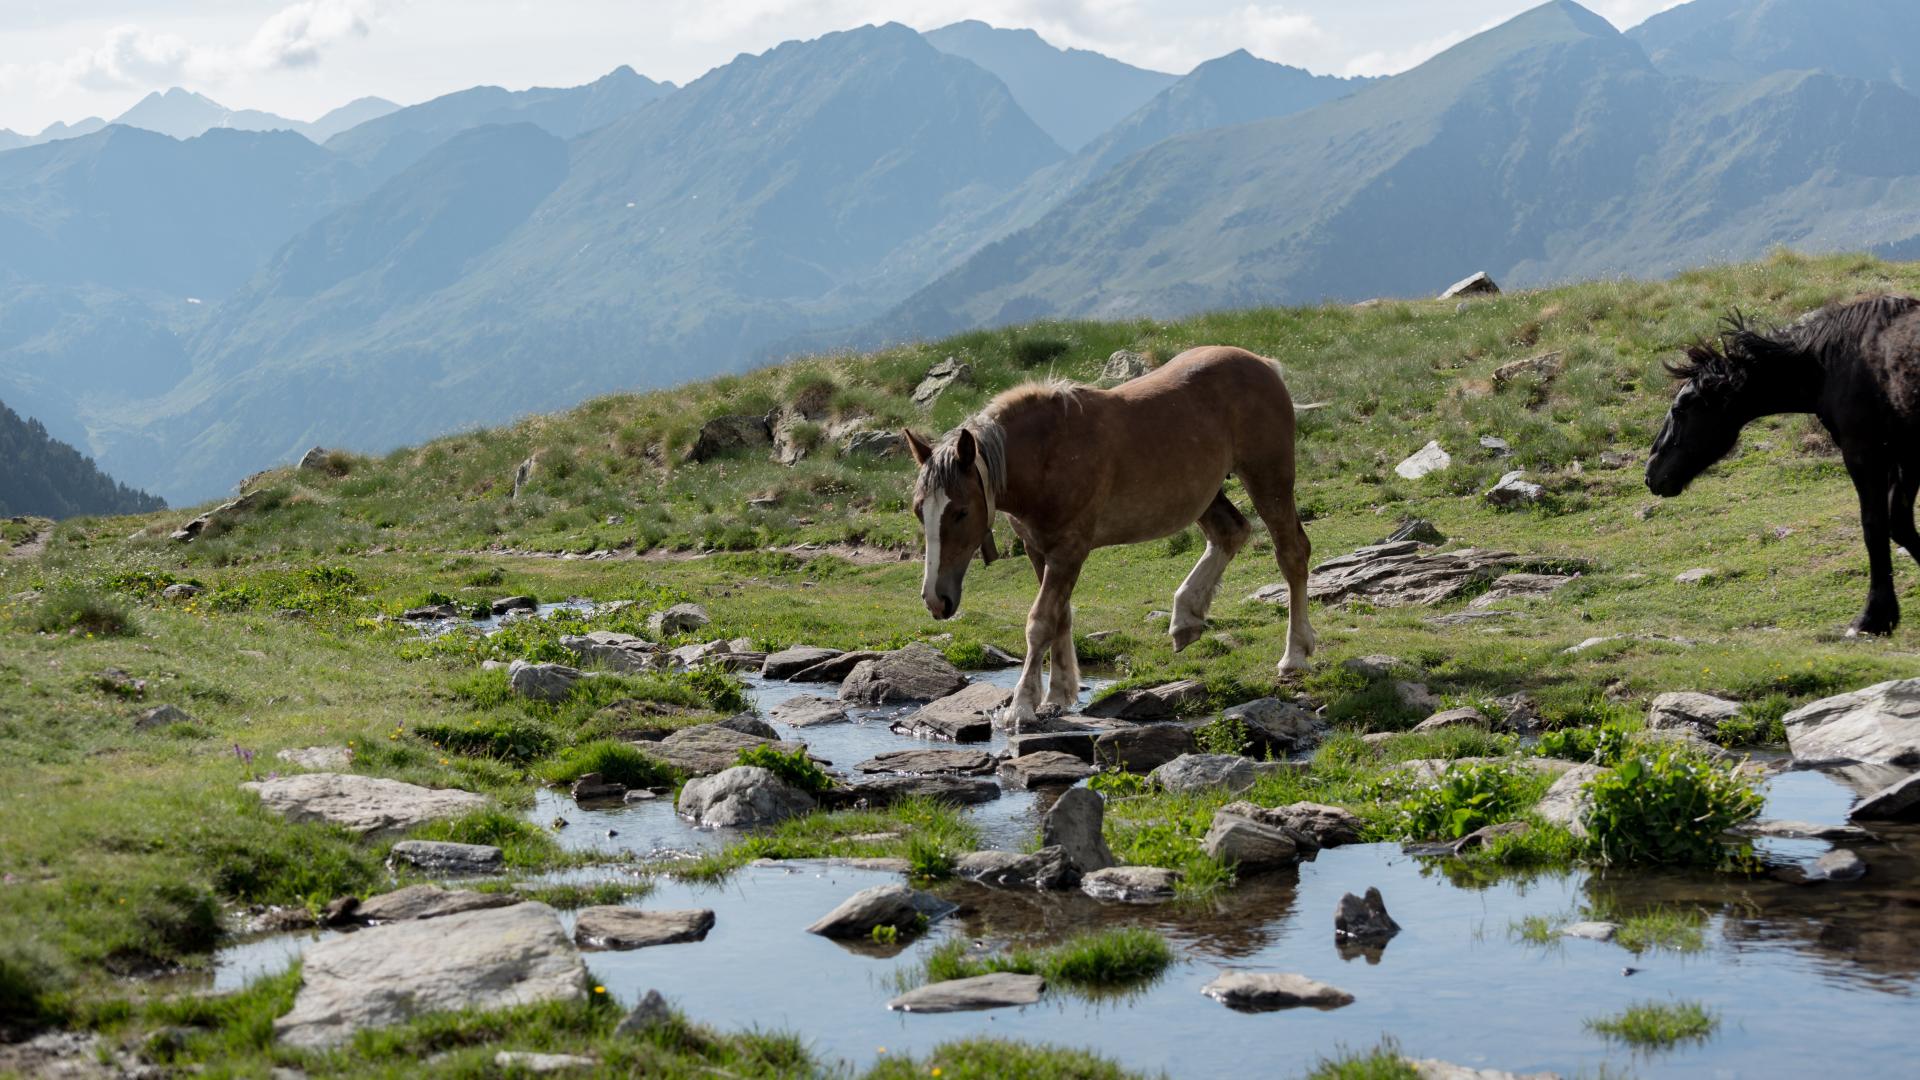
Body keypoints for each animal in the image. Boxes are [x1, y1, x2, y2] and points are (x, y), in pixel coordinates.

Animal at [906, 343, 1313, 722]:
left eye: (961, 511)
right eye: (918, 510)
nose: (936, 599)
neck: (1047, 453)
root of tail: (1263, 364)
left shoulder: (1069, 549)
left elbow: (1041, 621)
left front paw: (1021, 706)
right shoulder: (1039, 548)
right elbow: (1061, 617)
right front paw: (1059, 694)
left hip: (1268, 477)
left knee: (1292, 552)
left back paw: (1294, 655)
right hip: (1206, 494)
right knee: (1230, 533)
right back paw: (1186, 617)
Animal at [1651, 292, 1920, 630]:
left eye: (1680, 409)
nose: (1651, 473)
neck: (1831, 363)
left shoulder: (1864, 452)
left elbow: (1875, 526)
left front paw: (1873, 617)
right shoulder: (1906, 454)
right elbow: (1900, 524)